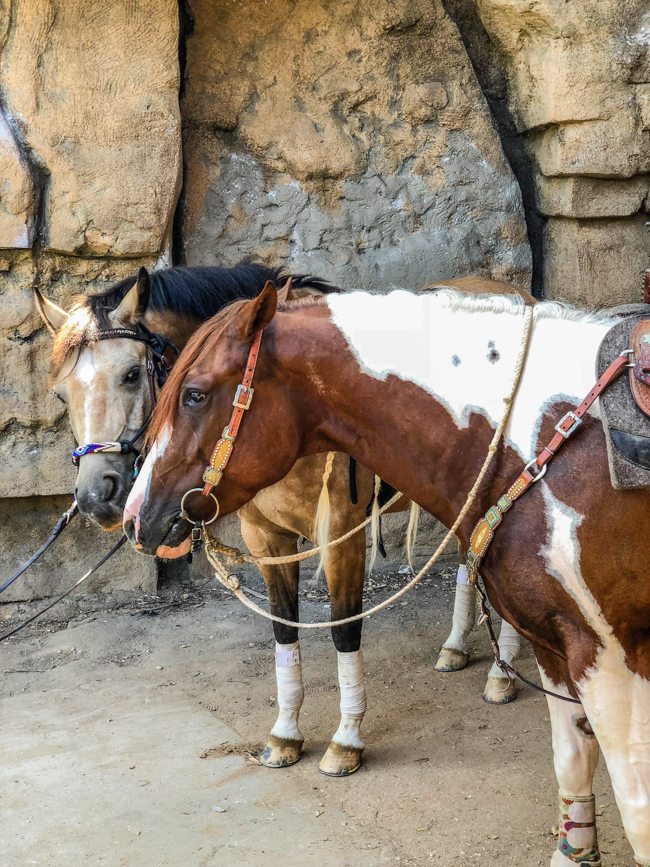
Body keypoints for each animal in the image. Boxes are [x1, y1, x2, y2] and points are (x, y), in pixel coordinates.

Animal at [35, 262, 524, 772]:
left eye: (132, 375)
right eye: (61, 396)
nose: (96, 495)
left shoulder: (342, 537)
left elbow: (344, 629)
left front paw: (346, 740)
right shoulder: (265, 538)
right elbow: (283, 628)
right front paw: (286, 734)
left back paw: (501, 673)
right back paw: (456, 647)